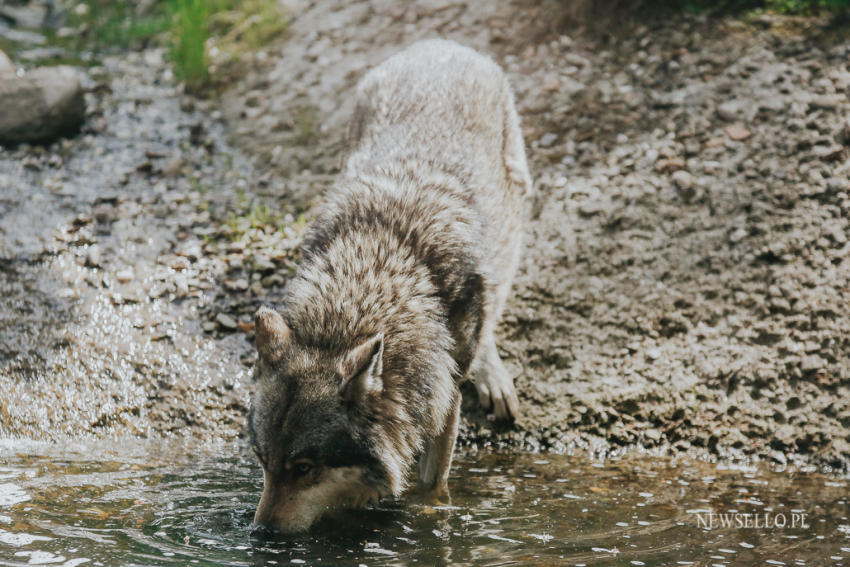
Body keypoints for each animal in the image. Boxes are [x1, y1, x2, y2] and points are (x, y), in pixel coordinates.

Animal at [248, 38, 532, 532]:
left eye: (303, 468)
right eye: (264, 462)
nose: (260, 534)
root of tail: (437, 44)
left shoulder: (443, 397)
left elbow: (432, 483)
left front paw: (429, 516)